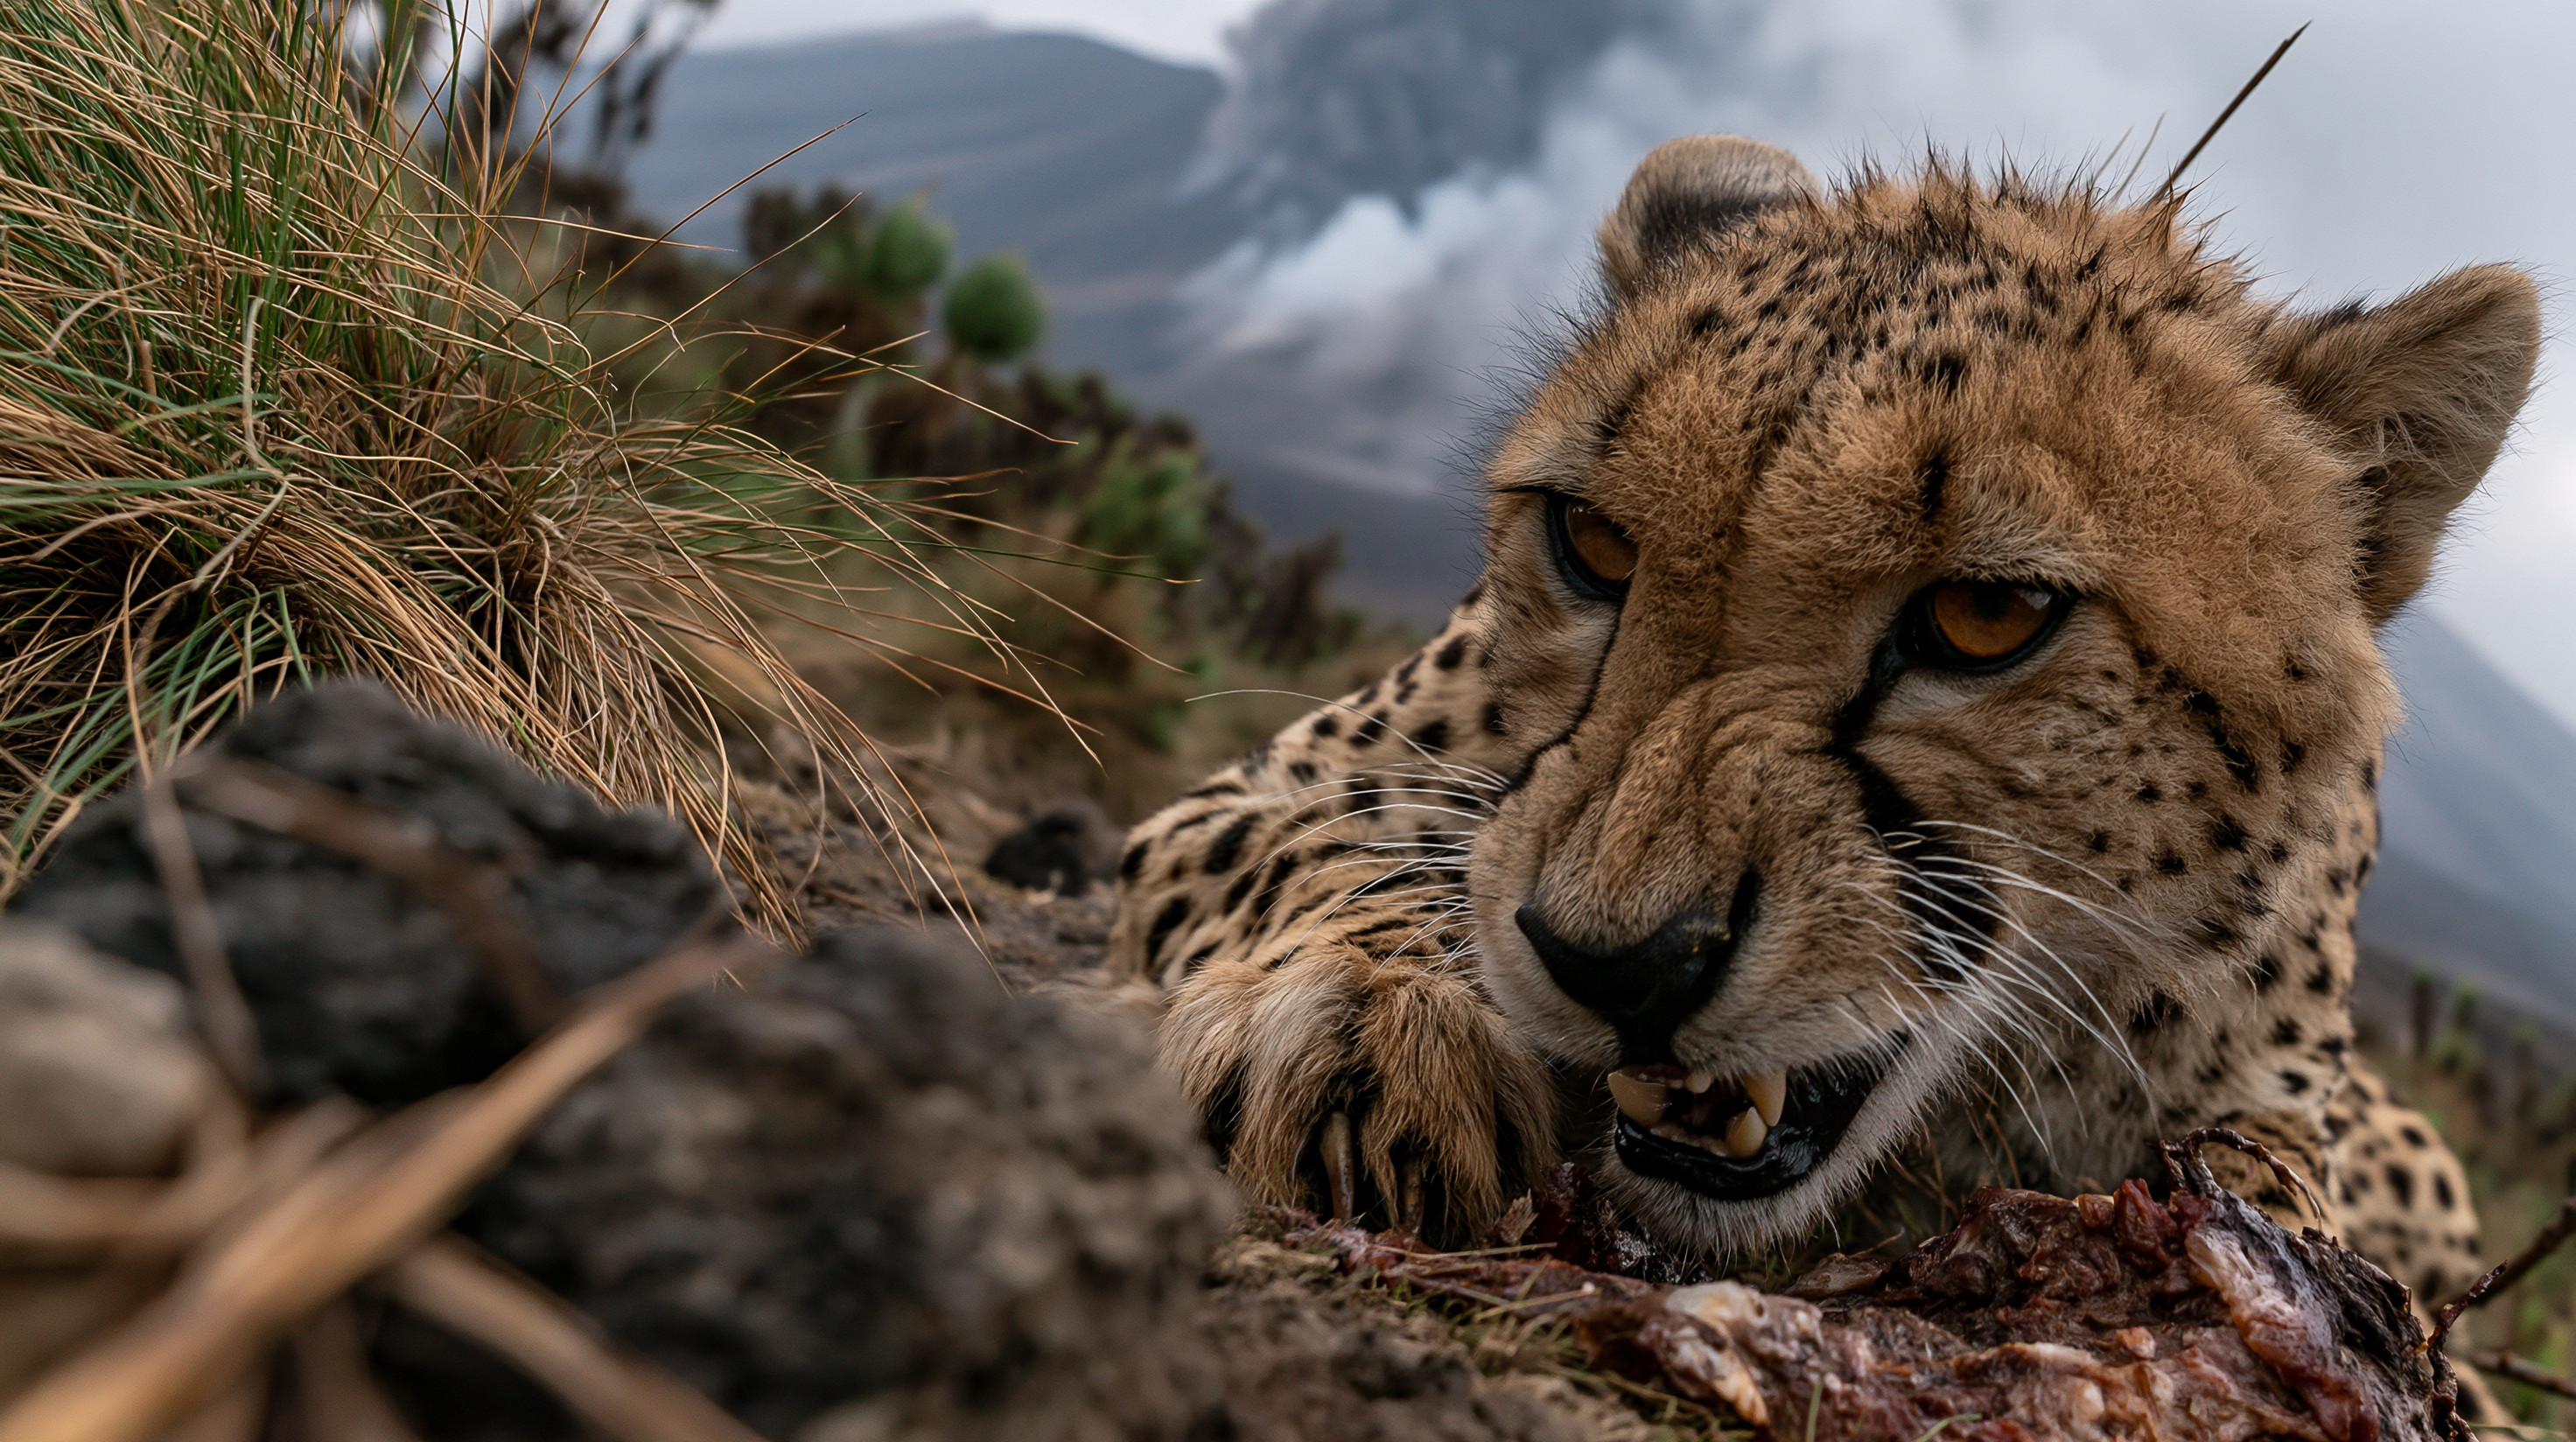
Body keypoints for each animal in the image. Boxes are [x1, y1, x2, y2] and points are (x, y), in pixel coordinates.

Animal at [1108, 137, 2536, 1339]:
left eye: (1987, 615)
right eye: (1593, 541)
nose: (1617, 965)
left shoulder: (2263, 1091)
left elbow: (2280, 1194)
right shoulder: (1238, 800)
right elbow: (1334, 847)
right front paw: (1373, 1015)